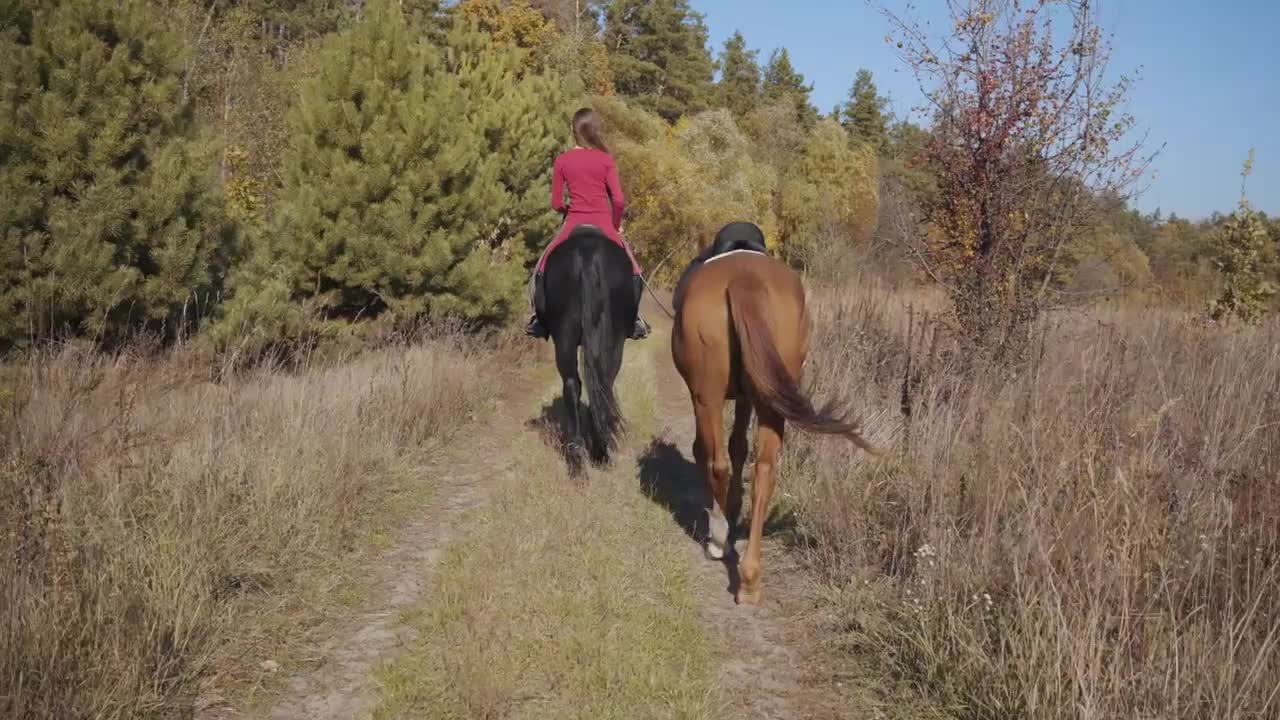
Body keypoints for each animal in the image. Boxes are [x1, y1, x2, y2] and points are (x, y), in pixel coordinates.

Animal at [529, 225, 640, 471]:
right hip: (615, 341)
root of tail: (588, 254)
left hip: (564, 337)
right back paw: (600, 451)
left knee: (573, 384)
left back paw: (578, 455)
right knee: (604, 383)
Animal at [670, 221, 880, 602]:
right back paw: (750, 578)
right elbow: (740, 447)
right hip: (770, 401)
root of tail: (744, 277)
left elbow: (710, 450)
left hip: (708, 396)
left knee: (717, 462)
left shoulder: (706, 397)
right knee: (765, 470)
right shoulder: (747, 398)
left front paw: (724, 519)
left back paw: (720, 541)